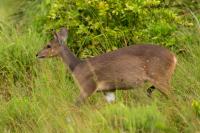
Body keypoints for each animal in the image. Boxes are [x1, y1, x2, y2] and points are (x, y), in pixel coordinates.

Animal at [36, 27, 177, 105]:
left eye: (48, 45)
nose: (37, 54)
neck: (77, 66)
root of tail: (174, 57)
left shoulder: (88, 87)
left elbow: (75, 105)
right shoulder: (108, 90)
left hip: (160, 78)